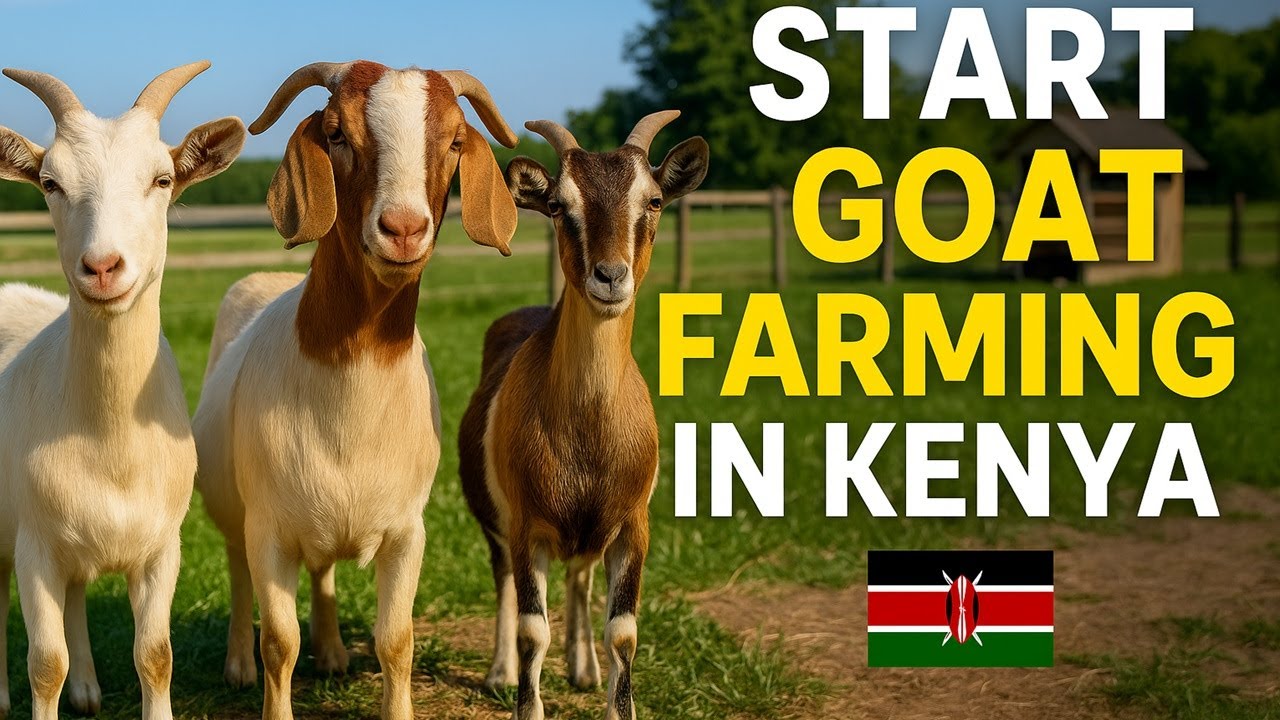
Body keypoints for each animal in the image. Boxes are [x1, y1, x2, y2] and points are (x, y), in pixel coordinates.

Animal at [0, 63, 245, 720]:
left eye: (162, 179)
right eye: (50, 183)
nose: (103, 267)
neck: (107, 439)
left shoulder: (162, 548)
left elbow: (154, 656)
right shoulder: (35, 544)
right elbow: (43, 664)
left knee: (78, 592)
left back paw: (87, 689)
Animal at [191, 61, 518, 720]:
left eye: (454, 141)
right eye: (337, 133)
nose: (404, 229)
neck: (352, 392)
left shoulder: (407, 531)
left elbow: (396, 640)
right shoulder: (269, 528)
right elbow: (280, 643)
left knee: (323, 574)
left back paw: (335, 651)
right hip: (233, 509)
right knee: (238, 575)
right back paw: (237, 663)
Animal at [458, 112, 709, 720]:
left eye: (654, 200)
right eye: (557, 205)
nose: (610, 276)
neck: (587, 434)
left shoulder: (632, 525)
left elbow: (623, 631)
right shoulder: (527, 526)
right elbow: (532, 629)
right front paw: (525, 701)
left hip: (589, 534)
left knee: (580, 579)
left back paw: (584, 669)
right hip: (497, 524)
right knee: (505, 584)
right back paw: (499, 673)